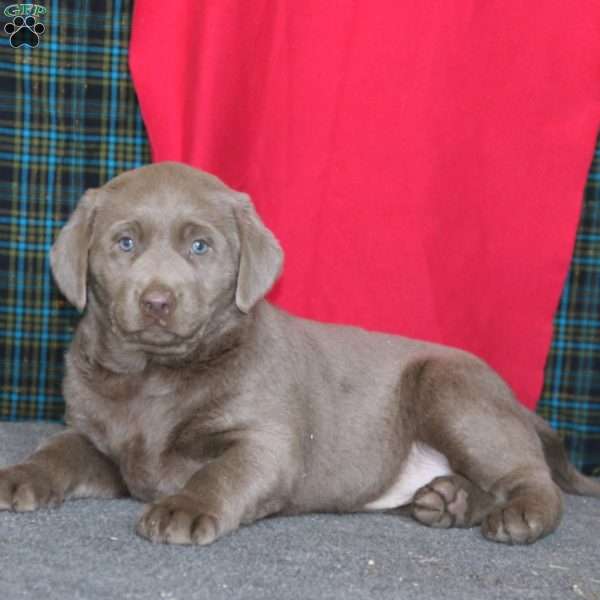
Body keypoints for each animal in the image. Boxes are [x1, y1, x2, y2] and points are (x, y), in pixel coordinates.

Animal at [1, 163, 600, 544]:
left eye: (200, 246)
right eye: (124, 243)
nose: (157, 302)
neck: (155, 375)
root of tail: (517, 404)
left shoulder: (266, 443)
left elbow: (219, 474)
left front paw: (183, 509)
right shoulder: (94, 438)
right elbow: (55, 452)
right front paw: (18, 475)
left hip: (454, 392)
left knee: (532, 477)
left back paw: (521, 517)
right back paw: (450, 501)